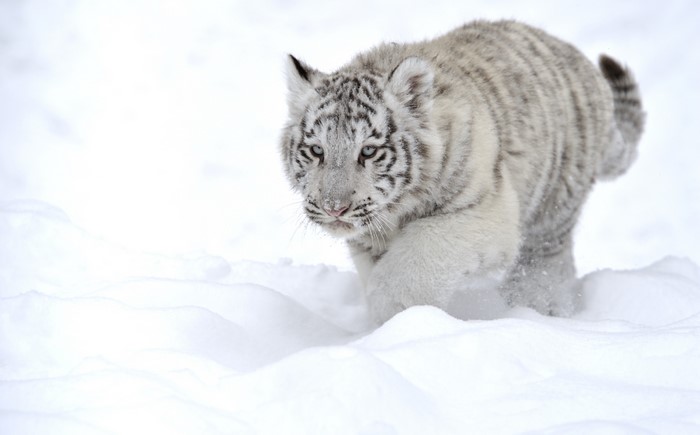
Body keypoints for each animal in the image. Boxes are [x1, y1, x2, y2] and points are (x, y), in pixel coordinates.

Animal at [279, 20, 644, 324]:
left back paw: (538, 308)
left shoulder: (487, 212)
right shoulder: (368, 240)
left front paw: (398, 317)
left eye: (368, 151)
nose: (334, 208)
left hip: (553, 207)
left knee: (546, 263)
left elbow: (417, 258)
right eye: (316, 151)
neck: (395, 214)